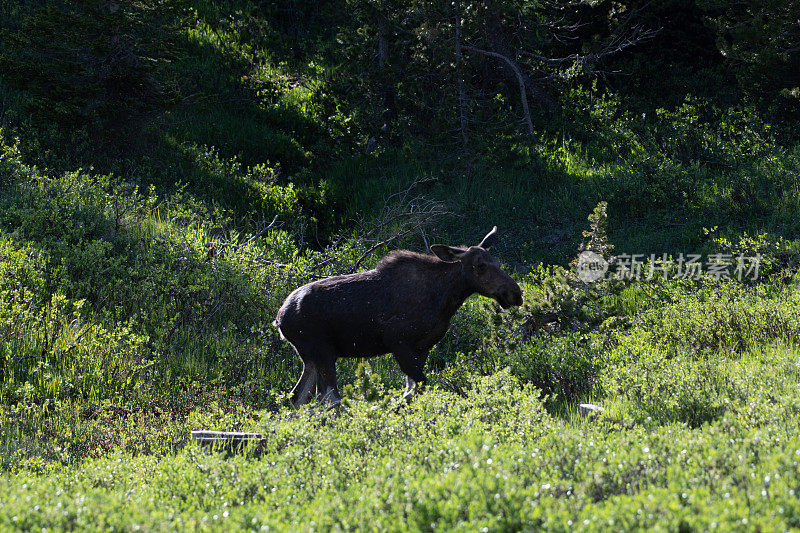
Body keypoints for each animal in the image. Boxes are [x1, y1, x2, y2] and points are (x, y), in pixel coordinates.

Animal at [276, 227, 524, 406]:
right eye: (480, 266)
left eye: (497, 262)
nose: (515, 293)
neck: (446, 298)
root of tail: (279, 320)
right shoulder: (396, 340)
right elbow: (418, 385)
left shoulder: (423, 346)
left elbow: (412, 390)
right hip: (323, 352)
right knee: (328, 397)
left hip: (310, 358)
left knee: (297, 396)